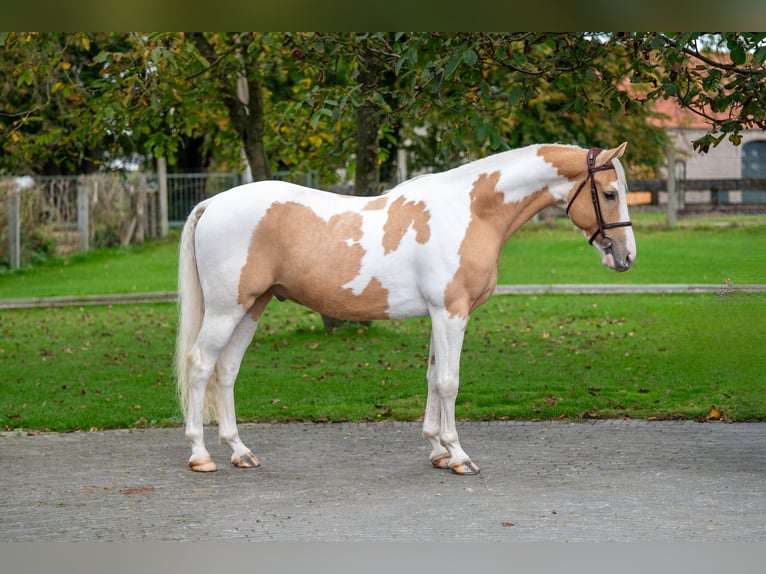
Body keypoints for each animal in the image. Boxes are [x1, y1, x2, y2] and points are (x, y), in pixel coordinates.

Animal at [177, 143, 640, 476]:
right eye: (610, 193)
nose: (626, 257)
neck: (472, 212)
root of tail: (212, 204)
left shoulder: (440, 315)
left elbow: (433, 378)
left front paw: (437, 450)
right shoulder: (451, 312)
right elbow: (450, 383)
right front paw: (458, 455)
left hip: (252, 307)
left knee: (226, 371)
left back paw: (240, 451)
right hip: (226, 310)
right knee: (201, 366)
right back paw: (200, 455)